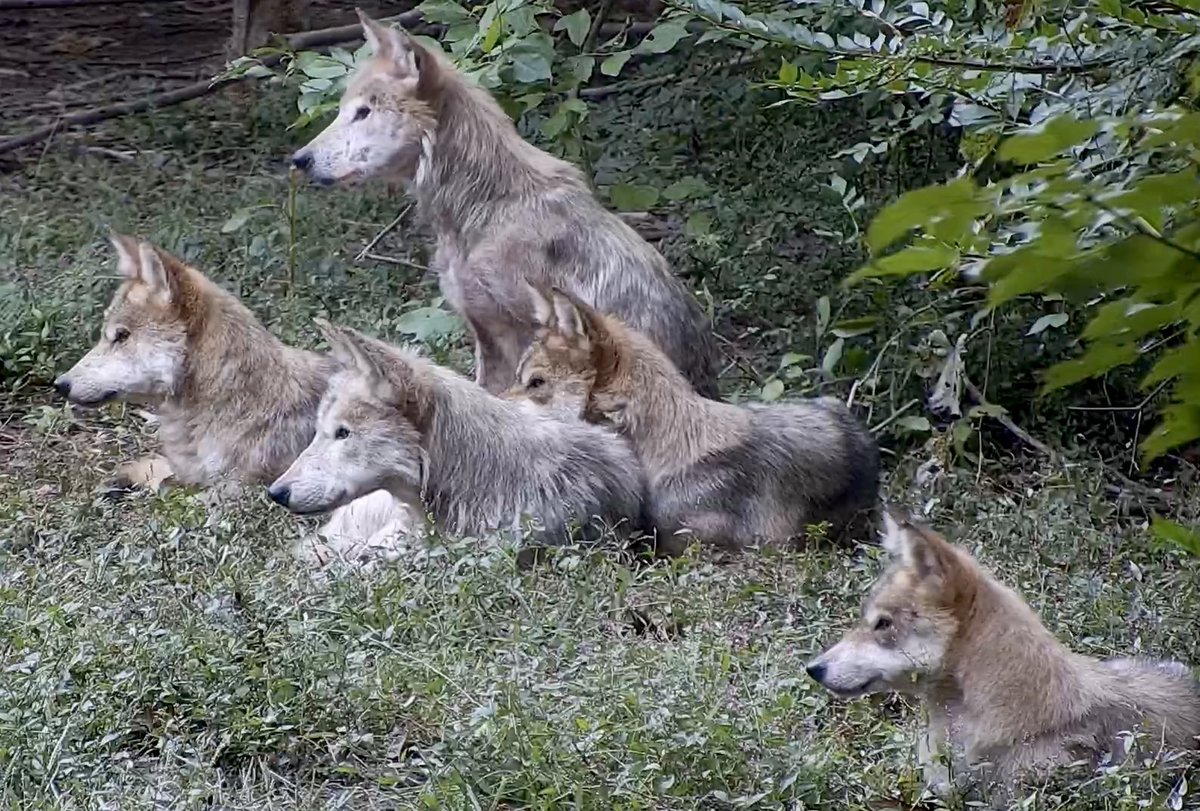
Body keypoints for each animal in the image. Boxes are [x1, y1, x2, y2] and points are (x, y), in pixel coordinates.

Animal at [289, 10, 721, 399]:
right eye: (343, 110)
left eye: (362, 112)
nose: (299, 159)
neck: (487, 206)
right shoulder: (483, 332)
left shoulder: (517, 336)